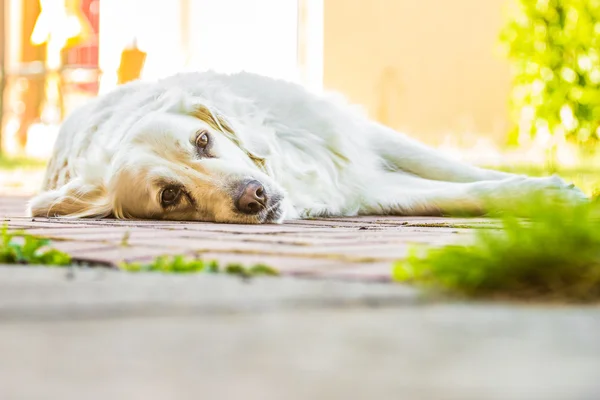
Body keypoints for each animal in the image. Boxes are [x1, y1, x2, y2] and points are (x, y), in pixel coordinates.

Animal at [28, 70, 584, 223]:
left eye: (204, 141)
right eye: (169, 196)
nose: (253, 197)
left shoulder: (355, 138)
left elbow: (458, 170)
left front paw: (552, 188)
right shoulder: (363, 187)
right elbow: (464, 192)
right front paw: (548, 197)